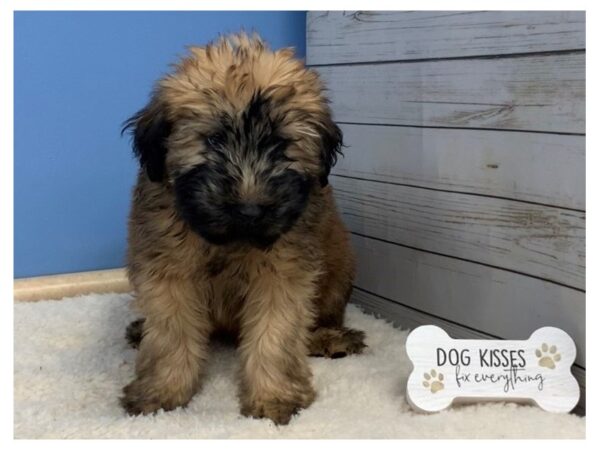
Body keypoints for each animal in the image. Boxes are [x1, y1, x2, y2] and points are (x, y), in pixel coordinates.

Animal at [120, 33, 366, 424]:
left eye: (281, 144)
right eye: (214, 140)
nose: (250, 210)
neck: (229, 241)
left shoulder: (283, 272)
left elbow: (276, 333)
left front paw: (273, 395)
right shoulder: (167, 270)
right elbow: (171, 334)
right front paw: (162, 391)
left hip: (339, 269)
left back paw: (330, 338)